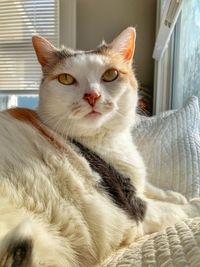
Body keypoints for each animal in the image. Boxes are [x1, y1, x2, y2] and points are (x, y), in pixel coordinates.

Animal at [0, 27, 200, 267]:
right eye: (66, 79)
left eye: (110, 74)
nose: (92, 95)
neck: (109, 140)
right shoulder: (130, 205)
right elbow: (172, 210)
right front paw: (193, 204)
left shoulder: (132, 179)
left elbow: (149, 185)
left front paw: (175, 194)